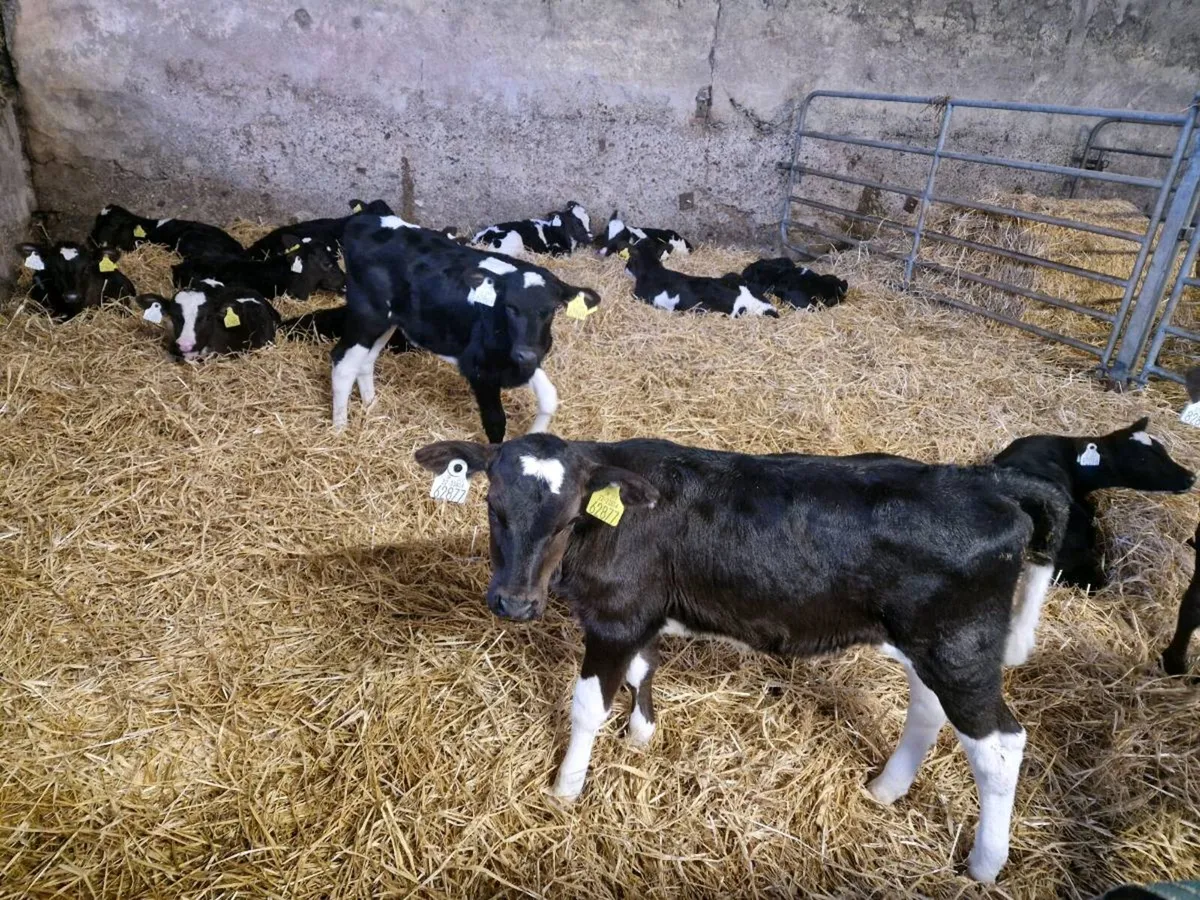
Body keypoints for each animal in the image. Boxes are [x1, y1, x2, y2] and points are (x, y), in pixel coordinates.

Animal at [331, 214, 601, 437]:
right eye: (509, 306)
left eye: (551, 309)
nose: (524, 353)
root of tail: (364, 220)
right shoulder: (480, 369)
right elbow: (495, 422)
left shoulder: (525, 359)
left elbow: (549, 398)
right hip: (367, 316)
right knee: (342, 364)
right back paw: (339, 429)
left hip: (388, 321)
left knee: (365, 361)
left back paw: (371, 405)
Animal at [414, 432, 1069, 883]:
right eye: (494, 506)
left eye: (570, 517)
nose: (514, 603)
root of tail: (986, 480)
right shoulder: (644, 611)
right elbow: (643, 669)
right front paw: (642, 736)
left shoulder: (615, 617)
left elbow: (586, 707)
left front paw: (566, 789)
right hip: (930, 645)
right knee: (929, 712)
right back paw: (885, 790)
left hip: (960, 646)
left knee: (999, 746)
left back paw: (984, 864)